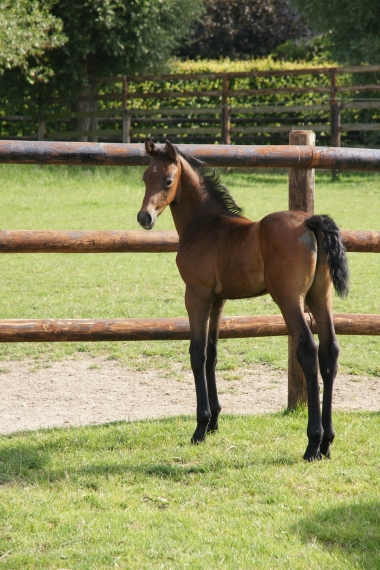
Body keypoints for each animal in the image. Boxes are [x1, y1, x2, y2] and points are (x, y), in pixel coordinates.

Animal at [138, 139, 348, 462]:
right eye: (145, 177)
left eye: (168, 180)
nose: (144, 218)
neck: (205, 225)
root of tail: (310, 223)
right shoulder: (218, 300)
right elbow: (212, 353)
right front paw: (214, 422)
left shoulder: (196, 295)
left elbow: (197, 353)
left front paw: (200, 428)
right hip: (320, 296)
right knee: (330, 351)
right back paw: (327, 443)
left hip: (289, 299)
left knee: (309, 350)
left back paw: (313, 443)